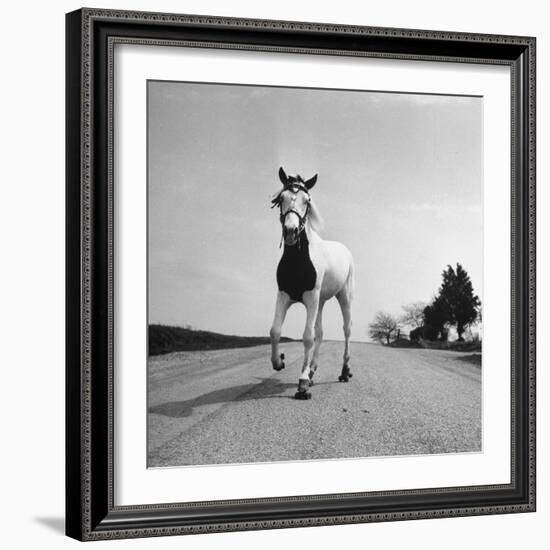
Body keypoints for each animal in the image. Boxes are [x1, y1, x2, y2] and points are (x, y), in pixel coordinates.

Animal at [270, 168, 356, 402]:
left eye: (307, 200)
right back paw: (313, 370)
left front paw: (302, 385)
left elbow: (307, 337)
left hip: (343, 297)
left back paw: (344, 371)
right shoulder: (284, 295)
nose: (291, 231)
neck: (299, 261)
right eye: (281, 199)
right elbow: (275, 330)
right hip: (321, 301)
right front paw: (279, 361)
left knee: (346, 329)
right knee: (321, 331)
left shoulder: (310, 297)